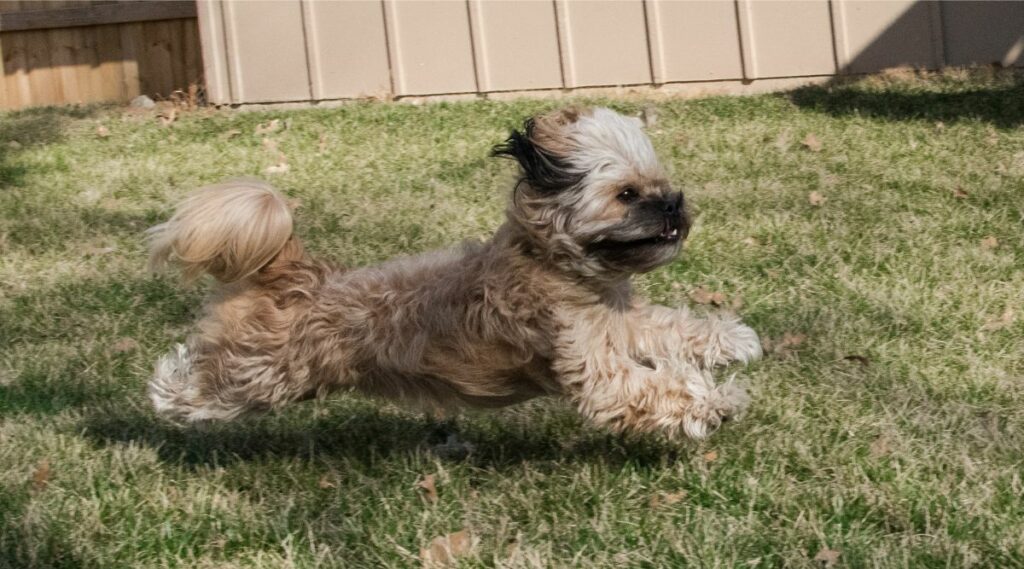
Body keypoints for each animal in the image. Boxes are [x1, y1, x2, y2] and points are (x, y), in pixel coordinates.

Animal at [149, 106, 761, 438]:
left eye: (661, 183)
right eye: (628, 194)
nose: (674, 205)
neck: (556, 267)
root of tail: (298, 271)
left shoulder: (620, 322)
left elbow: (667, 325)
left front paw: (729, 339)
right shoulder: (594, 368)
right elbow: (653, 388)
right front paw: (714, 401)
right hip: (263, 372)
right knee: (202, 381)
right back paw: (168, 389)